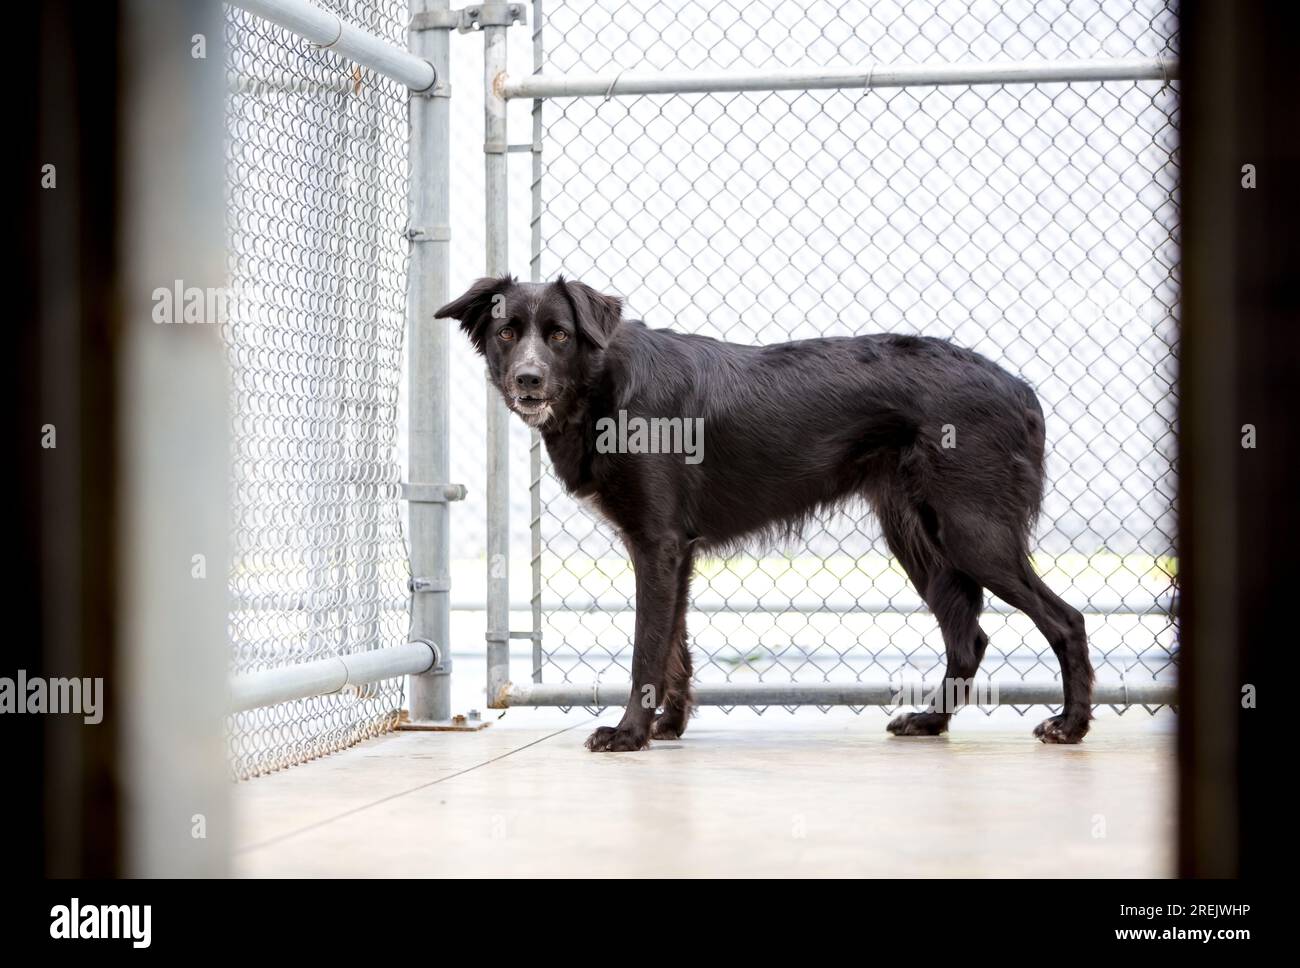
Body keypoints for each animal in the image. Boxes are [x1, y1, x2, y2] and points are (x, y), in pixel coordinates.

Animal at [441, 275, 1092, 753]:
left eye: (558, 336)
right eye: (506, 332)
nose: (527, 379)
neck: (606, 388)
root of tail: (1019, 387)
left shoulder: (658, 544)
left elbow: (647, 647)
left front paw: (629, 734)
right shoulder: (672, 550)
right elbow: (674, 646)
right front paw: (668, 727)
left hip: (973, 534)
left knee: (1066, 620)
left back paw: (1072, 725)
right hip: (920, 540)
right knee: (969, 637)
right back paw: (931, 723)